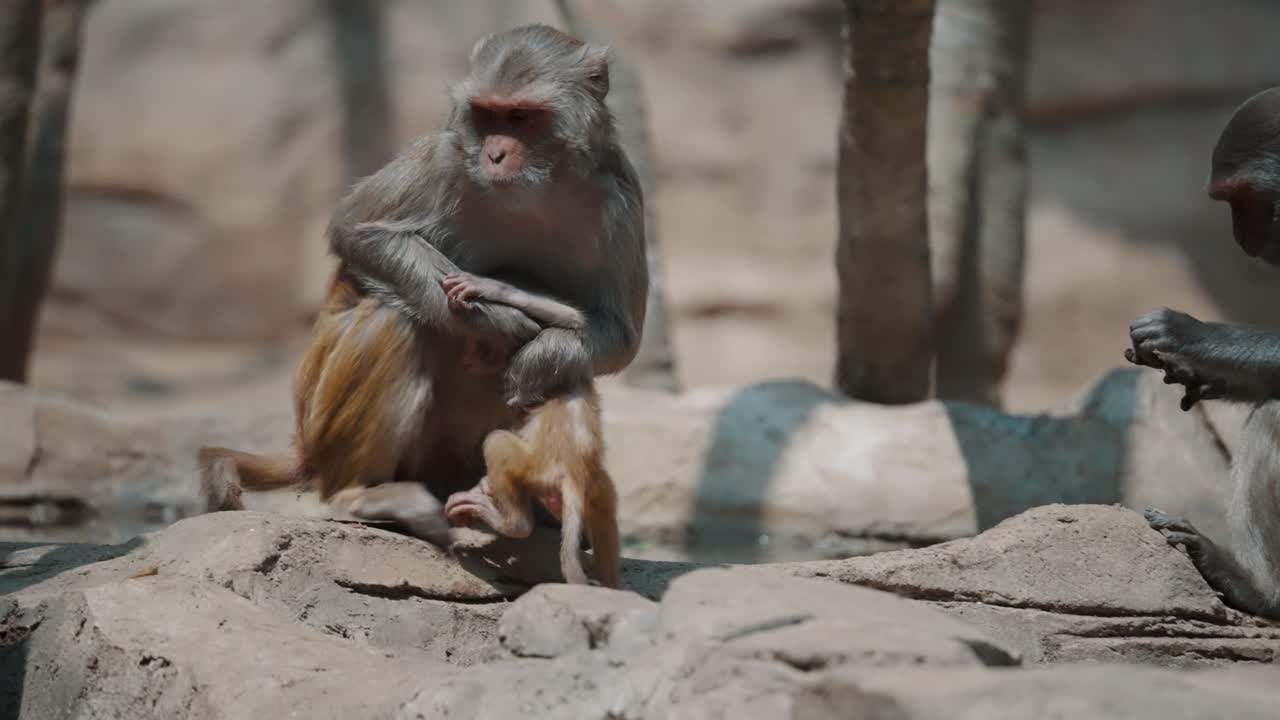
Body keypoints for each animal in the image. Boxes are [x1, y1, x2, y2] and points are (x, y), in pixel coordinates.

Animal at [198, 24, 647, 540]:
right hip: (325, 424)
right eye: (488, 115)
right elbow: (358, 230)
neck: (537, 186)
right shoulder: (443, 158)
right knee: (394, 318)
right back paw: (363, 494)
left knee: (571, 368)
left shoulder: (620, 198)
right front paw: (493, 320)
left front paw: (534, 358)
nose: (494, 154)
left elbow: (617, 335)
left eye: (520, 117)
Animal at [440, 271, 621, 588]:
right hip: (591, 487)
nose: (468, 360)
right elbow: (574, 320)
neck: (559, 387)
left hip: (536, 468)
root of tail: (573, 473)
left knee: (497, 442)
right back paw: (613, 586)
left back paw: (513, 524)